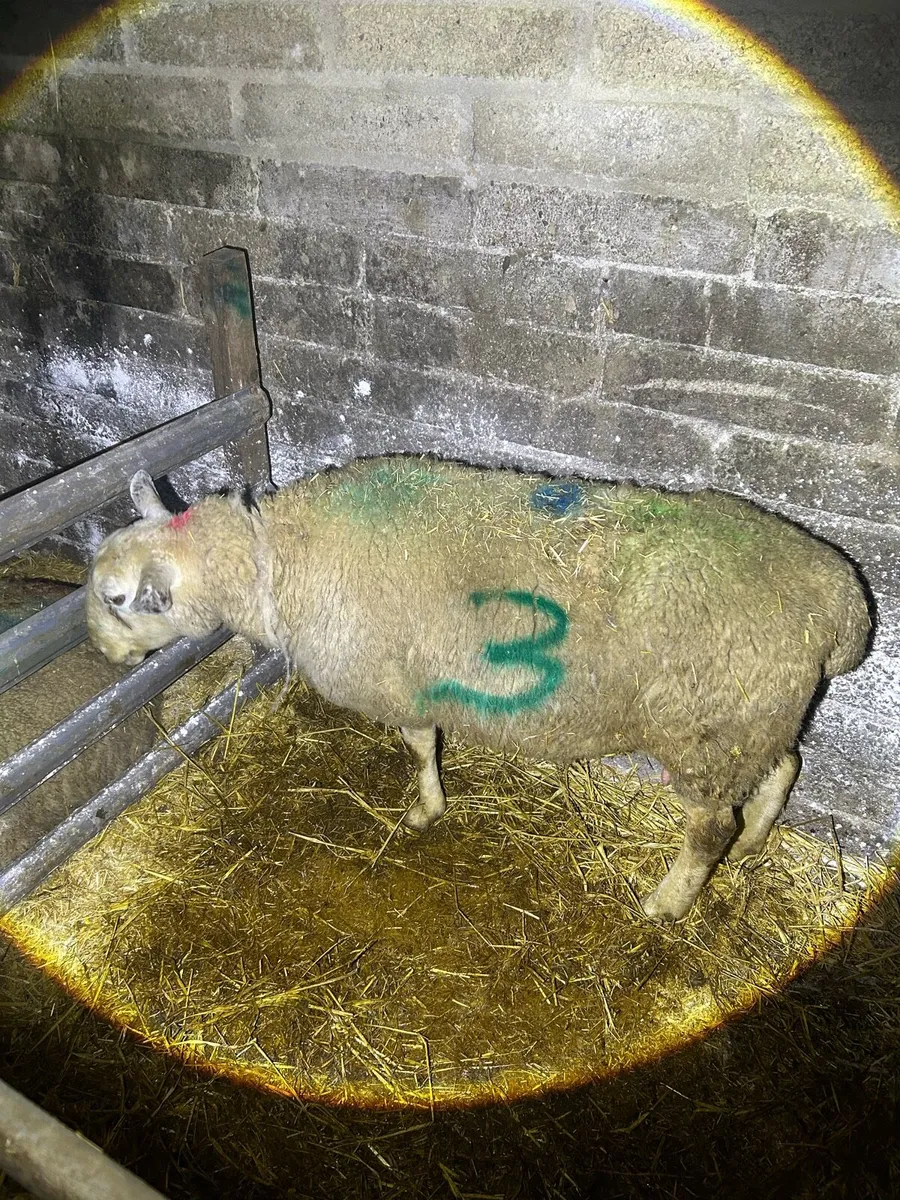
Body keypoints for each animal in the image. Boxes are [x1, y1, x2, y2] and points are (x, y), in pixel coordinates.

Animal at [86, 456, 870, 920]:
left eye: (119, 598)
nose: (101, 652)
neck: (273, 564)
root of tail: (843, 608)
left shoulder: (399, 684)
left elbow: (418, 746)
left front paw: (424, 811)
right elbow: (428, 743)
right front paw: (431, 805)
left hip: (707, 731)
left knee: (709, 828)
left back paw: (666, 903)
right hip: (754, 720)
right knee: (784, 768)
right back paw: (755, 843)